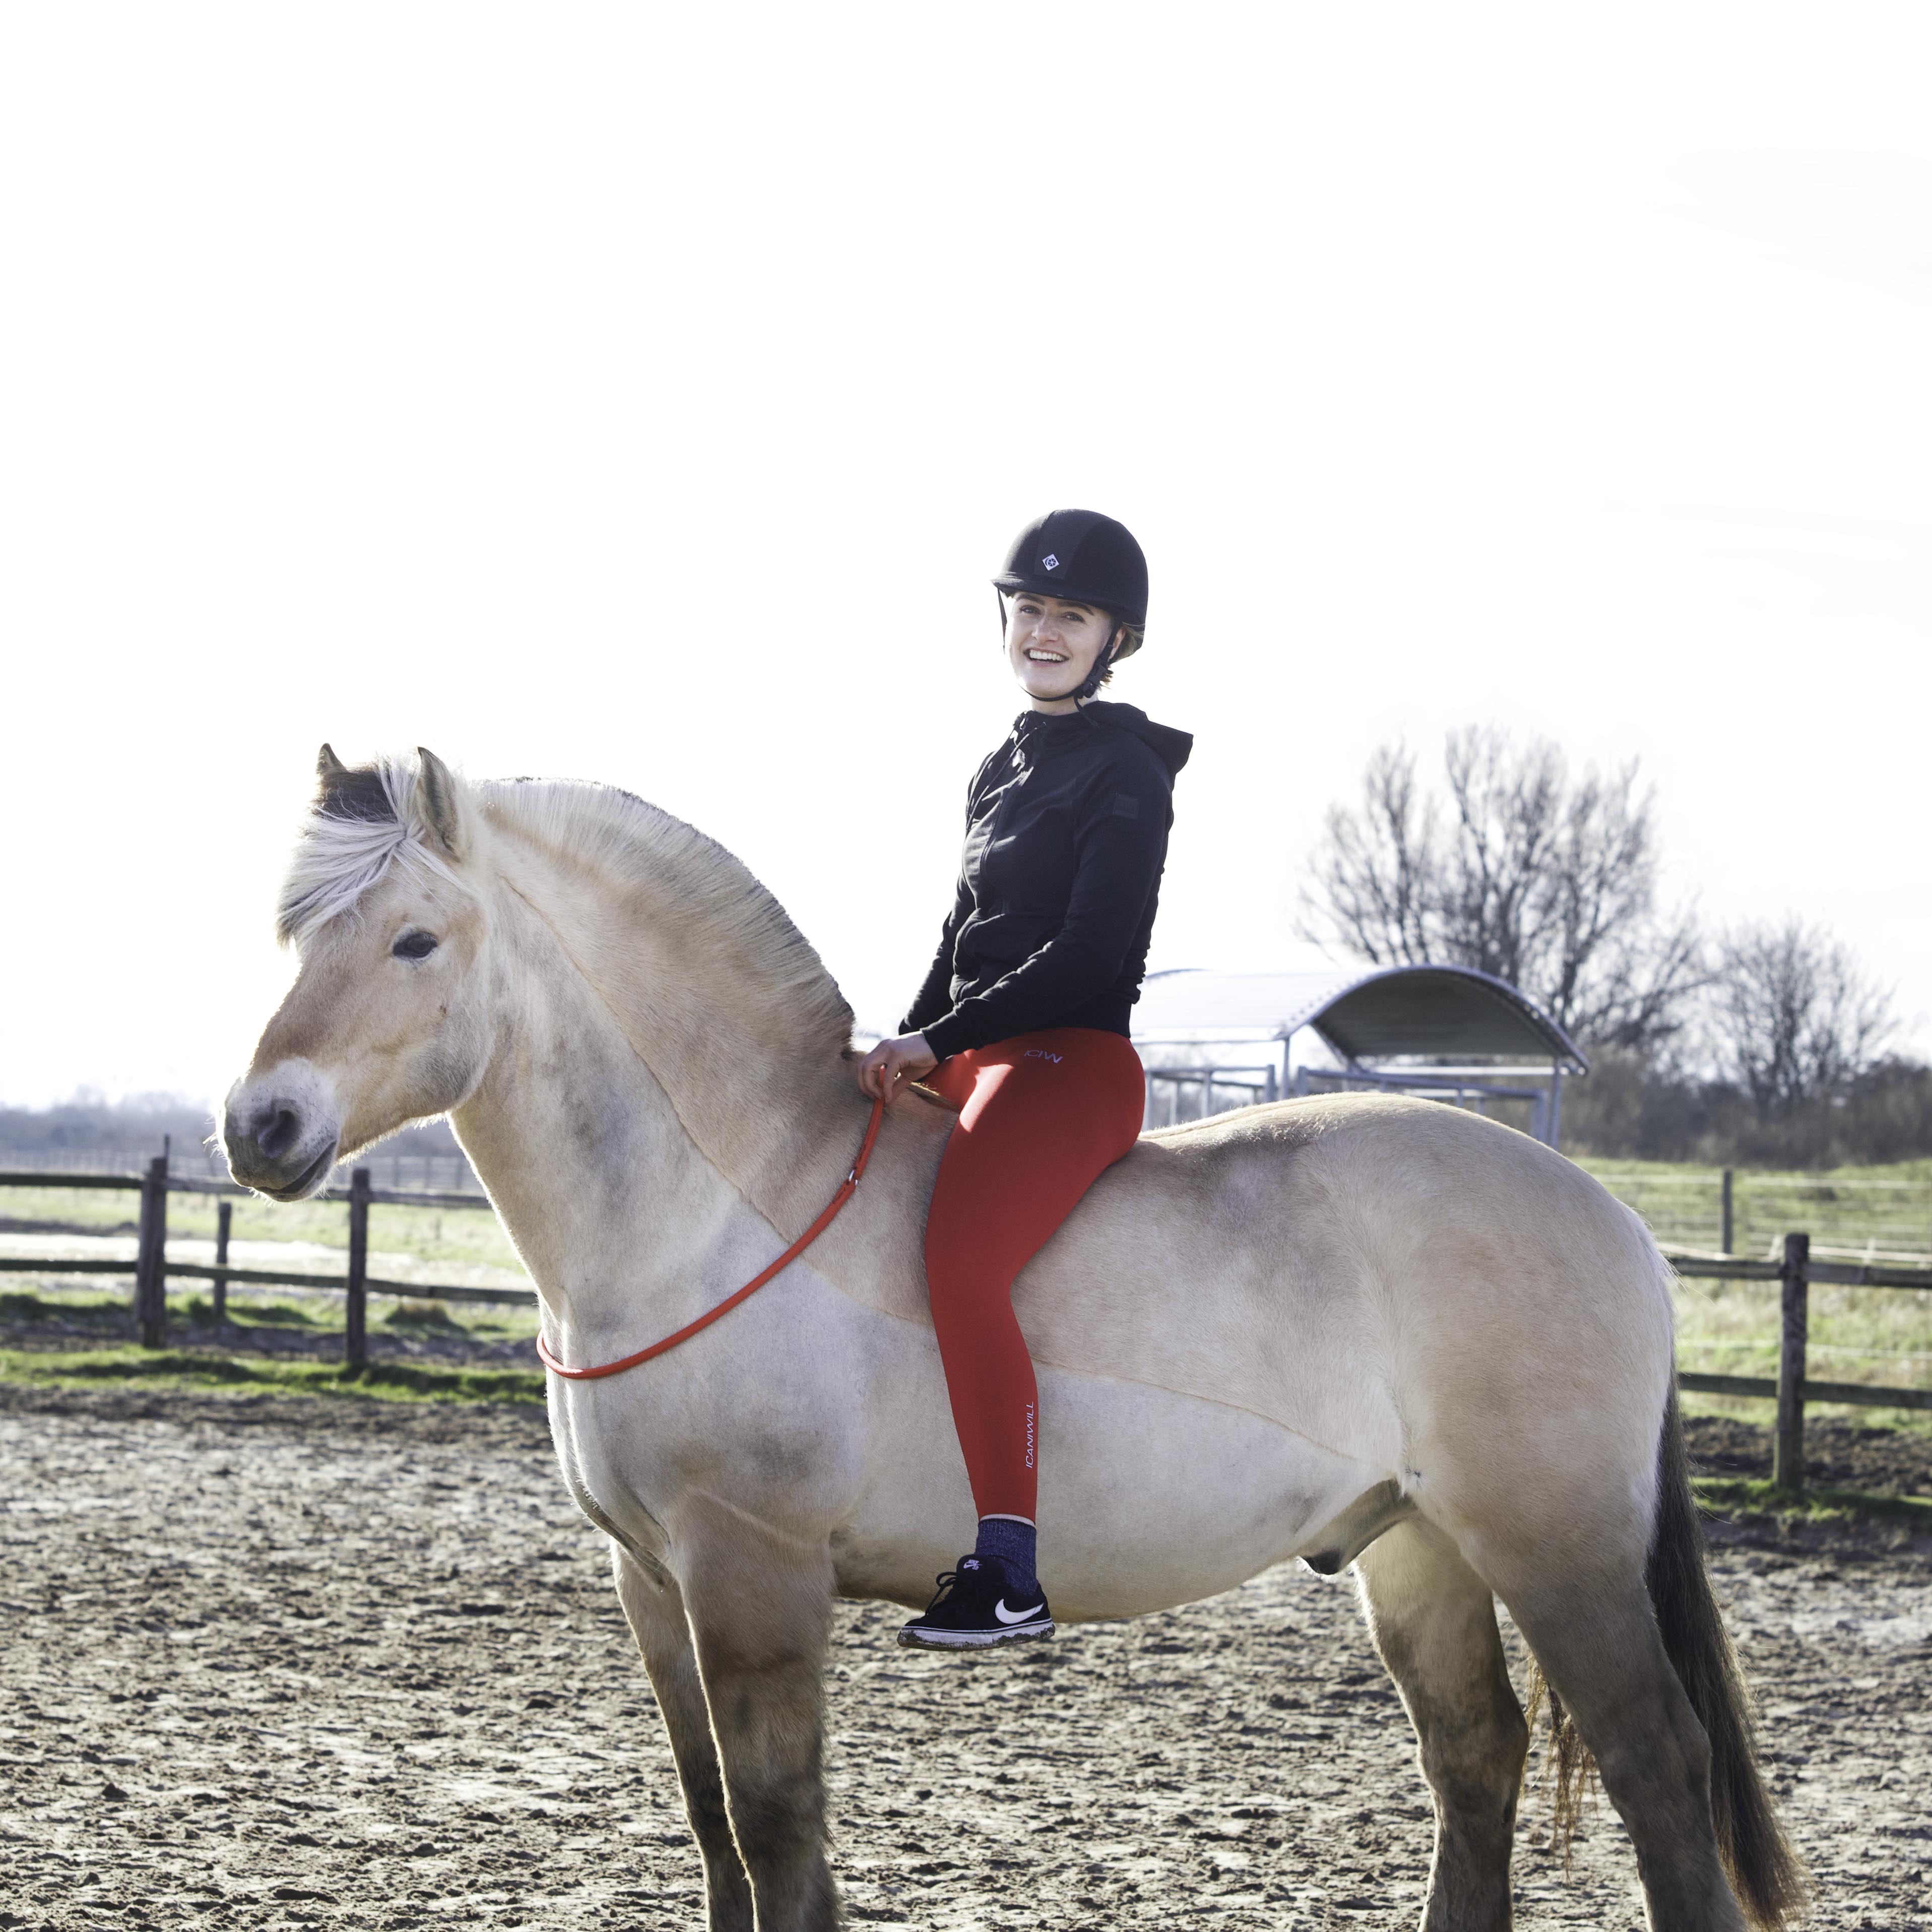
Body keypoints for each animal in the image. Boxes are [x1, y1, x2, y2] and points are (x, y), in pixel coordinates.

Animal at [222, 747, 1802, 1932]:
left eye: (415, 938)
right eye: (294, 933)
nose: (260, 1128)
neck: (713, 1203)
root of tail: (1608, 1217)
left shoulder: (754, 1577)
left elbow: (779, 1832)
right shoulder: (651, 1581)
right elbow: (715, 1825)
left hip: (1554, 1549)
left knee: (1656, 1769)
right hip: (1415, 1546)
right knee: (1474, 1760)